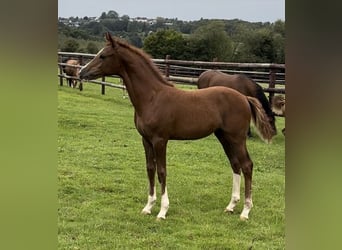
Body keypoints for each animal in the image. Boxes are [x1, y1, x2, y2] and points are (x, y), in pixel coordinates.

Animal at [79, 32, 274, 221]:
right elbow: (150, 169)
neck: (152, 97)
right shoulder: (146, 140)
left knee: (247, 165)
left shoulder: (160, 140)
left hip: (237, 137)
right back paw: (231, 206)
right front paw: (148, 207)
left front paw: (162, 211)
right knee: (235, 164)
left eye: (103, 56)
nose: (82, 72)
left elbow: (162, 171)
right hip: (224, 137)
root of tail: (245, 98)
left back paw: (245, 211)